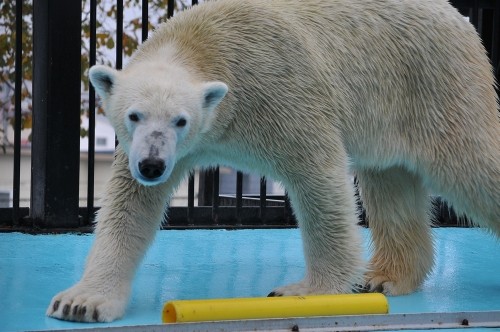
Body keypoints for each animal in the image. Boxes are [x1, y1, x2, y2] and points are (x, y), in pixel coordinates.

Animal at [46, 0, 496, 322]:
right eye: (134, 115)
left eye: (180, 120)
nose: (153, 166)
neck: (204, 44)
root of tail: (457, 17)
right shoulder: (153, 149)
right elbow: (130, 205)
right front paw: (82, 302)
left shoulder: (278, 87)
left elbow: (318, 174)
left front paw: (307, 290)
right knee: (390, 183)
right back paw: (384, 277)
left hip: (436, 83)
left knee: (472, 164)